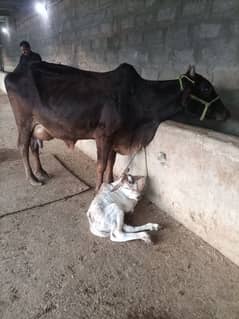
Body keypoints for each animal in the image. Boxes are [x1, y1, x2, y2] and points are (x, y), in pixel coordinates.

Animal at [4, 63, 230, 191]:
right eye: (205, 88)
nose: (227, 113)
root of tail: (13, 73)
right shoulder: (104, 135)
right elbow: (101, 165)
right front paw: (98, 190)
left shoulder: (117, 137)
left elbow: (112, 163)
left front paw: (111, 183)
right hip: (23, 121)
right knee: (22, 147)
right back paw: (33, 179)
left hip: (36, 125)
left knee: (33, 146)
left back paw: (41, 172)